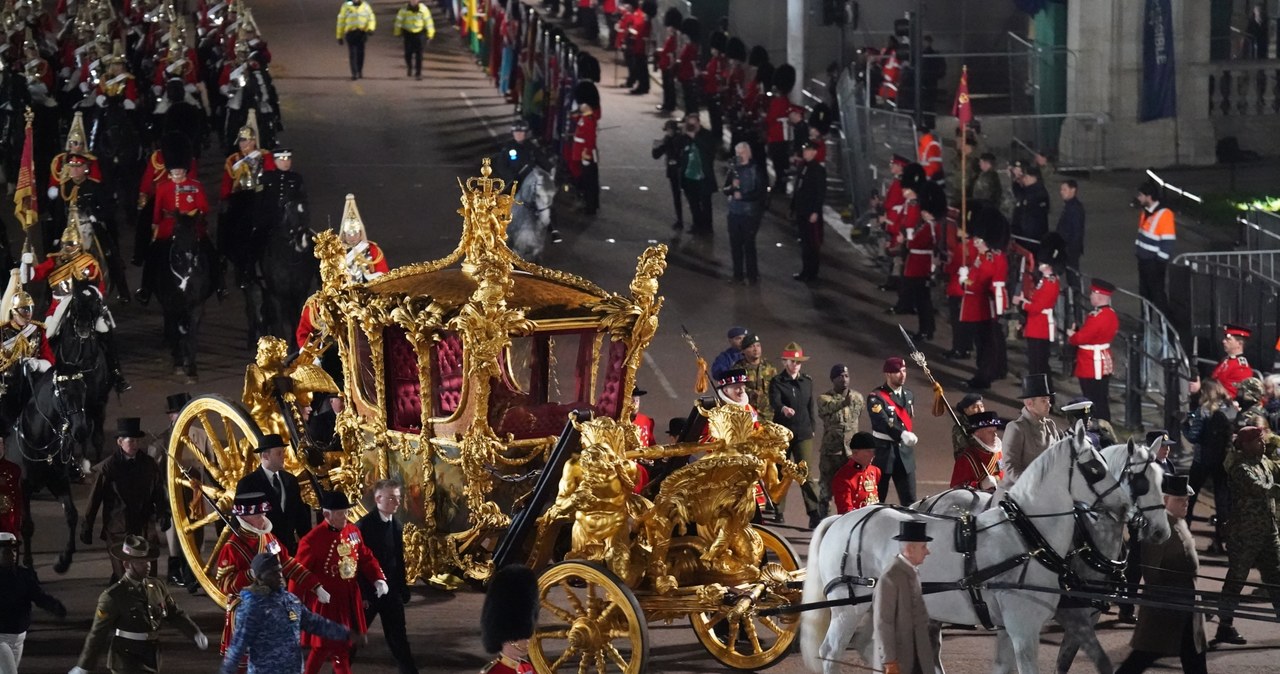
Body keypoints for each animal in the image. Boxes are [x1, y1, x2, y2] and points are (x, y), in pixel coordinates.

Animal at [17, 368, 90, 575]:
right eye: (63, 392)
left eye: (84, 388)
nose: (81, 431)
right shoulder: (23, 487)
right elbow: (27, 524)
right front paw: (28, 563)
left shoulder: (58, 481)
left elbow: (72, 515)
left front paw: (63, 561)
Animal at [154, 211, 215, 378]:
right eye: (176, 231)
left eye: (195, 232)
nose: (185, 260)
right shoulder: (172, 305)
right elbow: (176, 332)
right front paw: (178, 363)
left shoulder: (196, 305)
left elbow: (191, 333)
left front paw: (192, 367)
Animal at [798, 427, 1172, 674]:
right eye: (1094, 468)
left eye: (1162, 479)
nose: (1160, 530)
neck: (1028, 538)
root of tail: (844, 518)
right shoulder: (1026, 626)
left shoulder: (1012, 627)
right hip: (848, 606)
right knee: (830, 650)